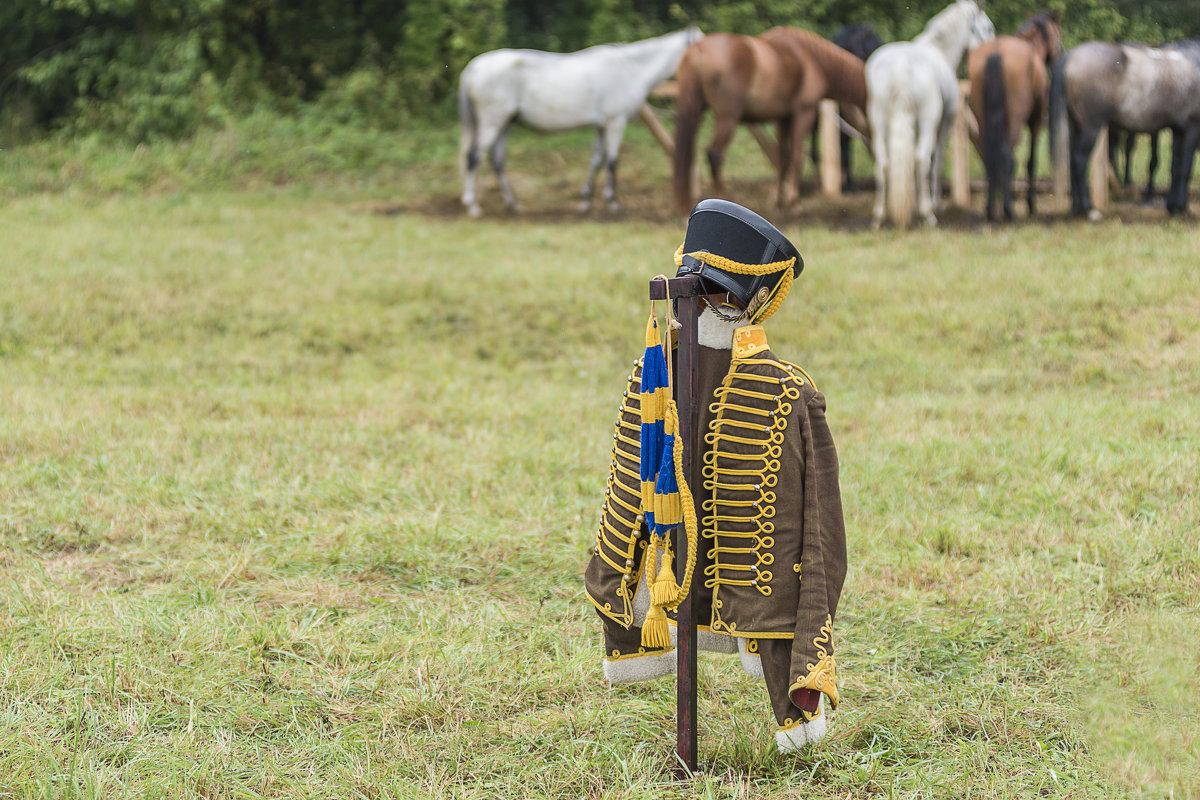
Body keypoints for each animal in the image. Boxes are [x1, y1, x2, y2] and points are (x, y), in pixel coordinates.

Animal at [458, 26, 700, 217]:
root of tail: (476, 65)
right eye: (701, 44)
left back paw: (513, 204)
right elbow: (612, 162)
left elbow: (597, 161)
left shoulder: (602, 126)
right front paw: (613, 203)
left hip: (505, 124)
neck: (631, 69)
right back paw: (473, 206)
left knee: (497, 161)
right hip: (493, 122)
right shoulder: (616, 123)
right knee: (473, 158)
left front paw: (585, 202)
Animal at [667, 28, 873, 215]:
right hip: (727, 118)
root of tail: (698, 48)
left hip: (695, 112)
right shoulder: (803, 113)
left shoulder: (783, 118)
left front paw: (778, 200)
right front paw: (794, 202)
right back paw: (722, 197)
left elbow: (782, 156)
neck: (812, 59)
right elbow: (796, 155)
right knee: (715, 153)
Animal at [864, 1, 993, 226]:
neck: (939, 50)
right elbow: (937, 162)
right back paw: (928, 214)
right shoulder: (943, 125)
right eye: (988, 28)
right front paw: (935, 204)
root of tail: (901, 66)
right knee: (921, 159)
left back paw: (879, 216)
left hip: (878, 121)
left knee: (883, 163)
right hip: (928, 122)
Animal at [969, 10, 1065, 221]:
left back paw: (990, 209)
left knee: (989, 156)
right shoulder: (1035, 122)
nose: (1059, 58)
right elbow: (1030, 162)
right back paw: (1008, 209)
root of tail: (997, 51)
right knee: (1007, 157)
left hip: (982, 119)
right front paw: (1030, 205)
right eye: (1058, 36)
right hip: (1015, 121)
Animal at [1056, 39, 1200, 217]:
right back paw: (1088, 208)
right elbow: (1185, 169)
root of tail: (1071, 58)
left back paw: (1077, 207)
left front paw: (1174, 206)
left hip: (1077, 127)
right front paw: (1181, 208)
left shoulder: (1178, 130)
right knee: (1080, 160)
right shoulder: (1191, 129)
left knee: (1073, 162)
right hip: (1091, 129)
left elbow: (1176, 168)